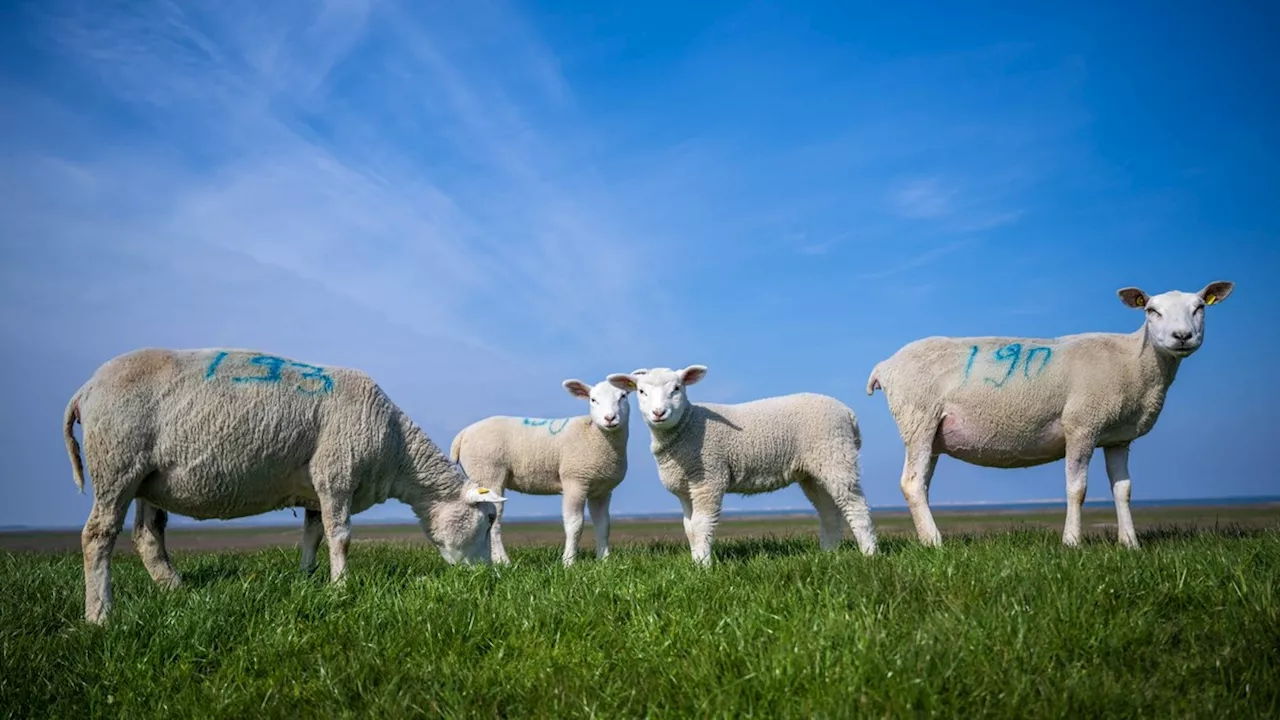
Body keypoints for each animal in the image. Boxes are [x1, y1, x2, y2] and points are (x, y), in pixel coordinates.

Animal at [63, 345, 504, 620]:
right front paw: (340, 588)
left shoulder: (314, 488)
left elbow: (313, 534)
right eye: (486, 521)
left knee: (147, 534)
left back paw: (176, 589)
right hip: (117, 462)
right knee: (98, 535)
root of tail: (85, 389)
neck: (396, 449)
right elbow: (340, 536)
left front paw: (307, 579)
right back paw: (100, 614)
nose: (484, 579)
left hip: (148, 478)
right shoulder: (335, 473)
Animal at [448, 379, 632, 563]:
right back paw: (503, 561)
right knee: (493, 521)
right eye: (593, 400)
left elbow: (603, 525)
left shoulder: (602, 490)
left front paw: (604, 560)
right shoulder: (574, 480)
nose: (610, 418)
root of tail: (464, 433)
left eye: (623, 396)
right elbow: (575, 524)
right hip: (488, 473)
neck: (593, 434)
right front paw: (568, 561)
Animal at [604, 366, 875, 563]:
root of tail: (848, 413)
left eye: (677, 388)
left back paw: (870, 554)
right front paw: (695, 562)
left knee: (856, 506)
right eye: (641, 392)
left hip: (835, 455)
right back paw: (828, 554)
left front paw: (703, 567)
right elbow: (689, 527)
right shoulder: (685, 488)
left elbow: (702, 524)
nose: (659, 413)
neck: (687, 426)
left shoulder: (709, 478)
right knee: (829, 512)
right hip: (813, 470)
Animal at [865, 278, 1233, 545]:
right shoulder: (1082, 424)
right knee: (912, 483)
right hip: (919, 419)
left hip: (931, 433)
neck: (1135, 360)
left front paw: (1130, 544)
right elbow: (1077, 489)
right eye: (1151, 311)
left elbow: (1123, 490)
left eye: (1200, 307)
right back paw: (935, 542)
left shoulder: (1117, 438)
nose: (1182, 336)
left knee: (921, 484)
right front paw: (1071, 543)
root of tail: (886, 364)